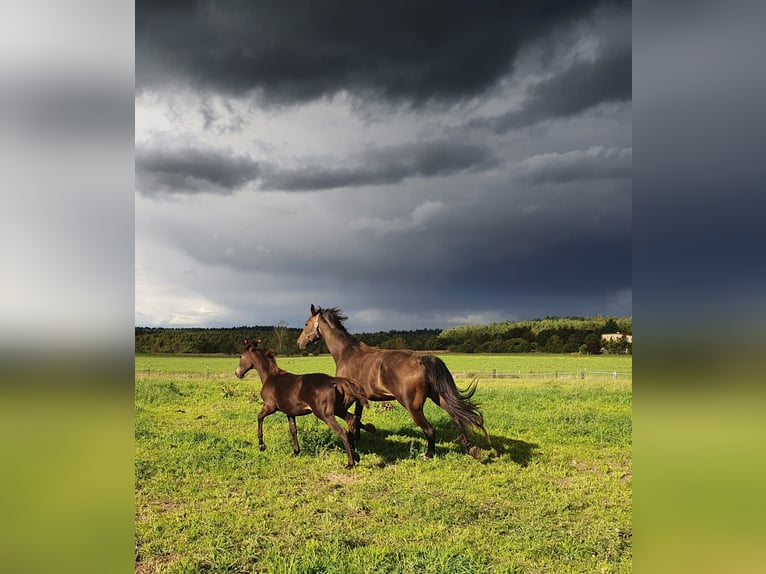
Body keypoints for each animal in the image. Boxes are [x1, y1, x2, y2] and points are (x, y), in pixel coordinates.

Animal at [236, 340, 370, 470]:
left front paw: (262, 446)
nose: (238, 373)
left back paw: (350, 463)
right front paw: (296, 451)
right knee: (351, 419)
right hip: (338, 409)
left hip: (325, 414)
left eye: (241, 356)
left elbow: (259, 417)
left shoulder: (270, 406)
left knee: (342, 431)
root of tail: (333, 380)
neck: (270, 377)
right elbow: (293, 430)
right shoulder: (290, 412)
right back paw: (355, 454)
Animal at [296, 306, 488, 464]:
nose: (300, 343)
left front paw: (362, 435)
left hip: (413, 406)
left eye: (306, 323)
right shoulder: (360, 398)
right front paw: (359, 436)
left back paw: (428, 454)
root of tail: (423, 359)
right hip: (439, 397)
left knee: (430, 429)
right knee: (458, 418)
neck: (346, 353)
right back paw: (471, 448)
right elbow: (357, 417)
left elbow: (356, 419)